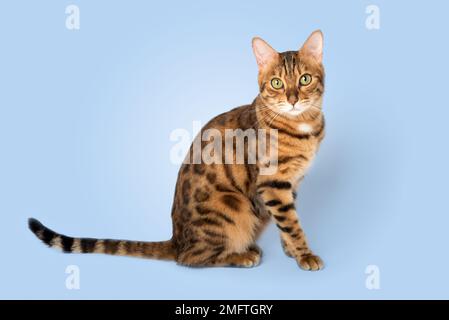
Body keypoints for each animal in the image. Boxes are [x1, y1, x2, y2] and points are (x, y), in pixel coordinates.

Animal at [29, 30, 328, 270]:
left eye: (305, 79)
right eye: (277, 83)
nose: (292, 99)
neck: (303, 126)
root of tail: (176, 239)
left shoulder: (291, 182)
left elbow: (287, 223)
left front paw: (291, 251)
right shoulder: (273, 183)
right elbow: (291, 224)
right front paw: (305, 255)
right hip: (233, 207)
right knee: (191, 258)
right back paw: (241, 255)